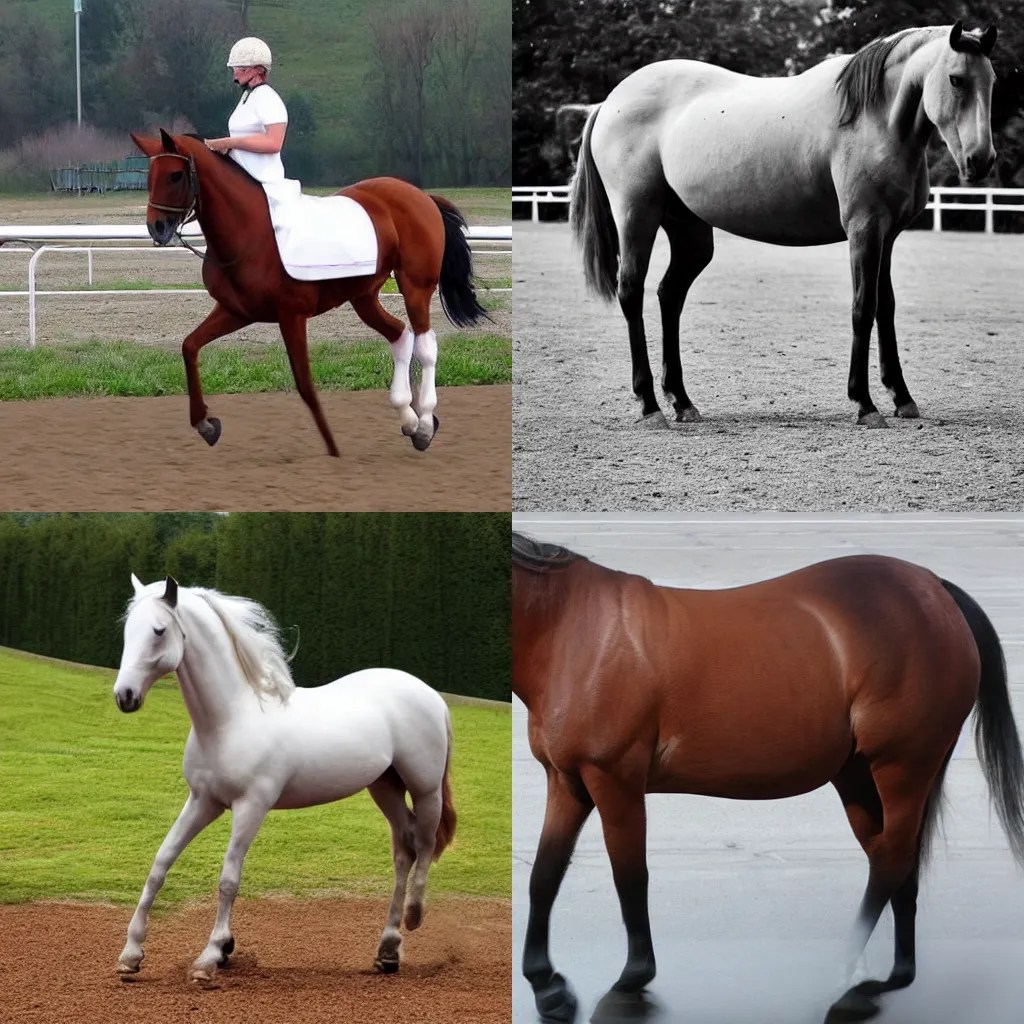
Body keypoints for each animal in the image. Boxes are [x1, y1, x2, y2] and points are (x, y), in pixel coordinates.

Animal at [112, 575, 456, 982]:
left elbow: (228, 879)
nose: (125, 696)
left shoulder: (251, 807)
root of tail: (431, 695)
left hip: (424, 788)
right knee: (404, 848)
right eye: (127, 630)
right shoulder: (203, 801)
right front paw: (131, 954)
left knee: (425, 843)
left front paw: (210, 957)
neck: (232, 718)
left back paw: (414, 916)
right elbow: (160, 864)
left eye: (159, 630)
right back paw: (387, 950)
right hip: (384, 787)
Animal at [130, 129, 488, 456]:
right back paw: (409, 418)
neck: (249, 231)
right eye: (150, 176)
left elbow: (304, 382)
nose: (156, 228)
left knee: (426, 344)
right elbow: (189, 346)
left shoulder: (291, 315)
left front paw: (333, 449)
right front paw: (205, 424)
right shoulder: (236, 311)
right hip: (364, 297)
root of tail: (422, 196)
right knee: (400, 334)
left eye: (175, 175)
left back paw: (425, 422)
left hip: (415, 286)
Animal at [512, 532, 1024, 1023]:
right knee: (897, 863)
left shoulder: (614, 779)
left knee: (892, 860)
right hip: (861, 780)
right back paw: (891, 977)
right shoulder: (567, 781)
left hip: (902, 769)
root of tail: (936, 589)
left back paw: (842, 973)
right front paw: (546, 986)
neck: (575, 633)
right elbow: (545, 874)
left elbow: (630, 877)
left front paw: (632, 978)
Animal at [571, 22, 998, 429]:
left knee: (670, 295)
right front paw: (864, 403)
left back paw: (682, 401)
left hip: (690, 234)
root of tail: (610, 103)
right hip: (636, 216)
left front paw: (902, 398)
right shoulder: (864, 229)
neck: (872, 118)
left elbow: (885, 307)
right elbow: (863, 307)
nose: (982, 160)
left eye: (992, 80)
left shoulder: (887, 235)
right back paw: (649, 405)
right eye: (956, 79)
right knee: (631, 293)